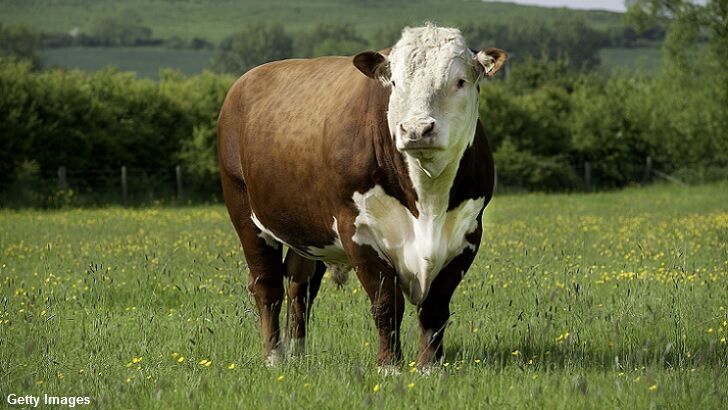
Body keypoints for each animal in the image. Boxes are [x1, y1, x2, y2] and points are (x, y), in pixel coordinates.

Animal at [217, 24, 506, 369]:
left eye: (460, 81)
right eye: (395, 83)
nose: (417, 129)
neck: (427, 203)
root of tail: (246, 80)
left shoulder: (467, 233)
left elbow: (435, 306)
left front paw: (429, 366)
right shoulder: (357, 230)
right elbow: (386, 303)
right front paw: (389, 366)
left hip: (308, 229)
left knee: (300, 285)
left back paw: (299, 354)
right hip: (244, 209)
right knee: (267, 285)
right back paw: (275, 357)